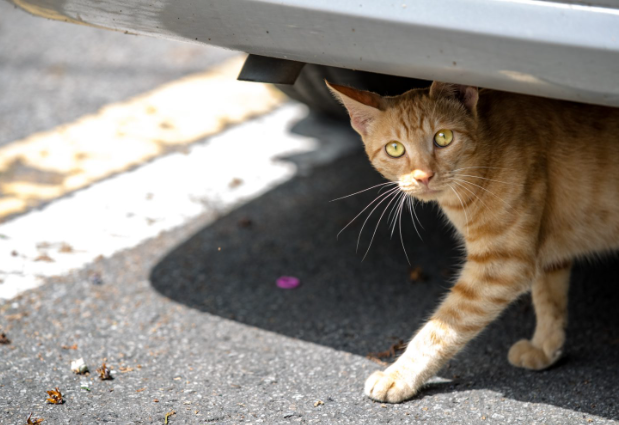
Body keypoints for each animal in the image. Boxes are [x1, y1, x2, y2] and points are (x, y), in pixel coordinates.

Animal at [330, 79, 619, 400]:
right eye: (395, 149)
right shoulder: (545, 251)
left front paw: (399, 375)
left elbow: (442, 326)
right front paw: (546, 347)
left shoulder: (503, 266)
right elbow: (548, 298)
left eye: (443, 138)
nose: (423, 176)